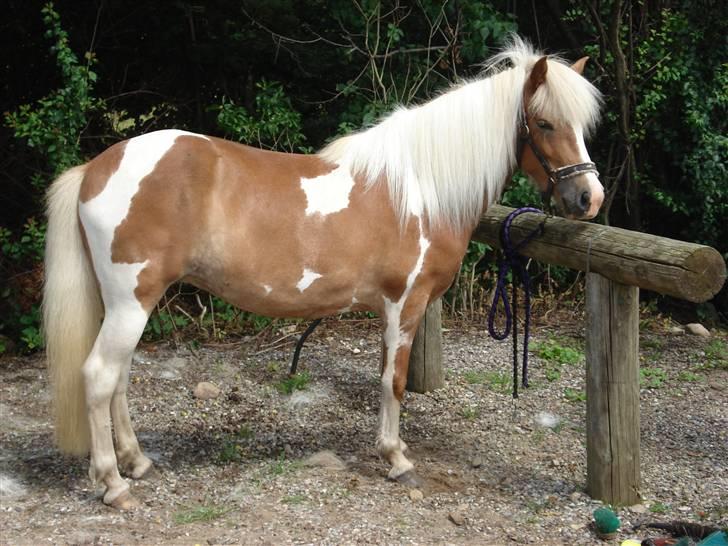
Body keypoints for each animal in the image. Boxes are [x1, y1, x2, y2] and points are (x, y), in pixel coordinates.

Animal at [44, 37, 604, 506]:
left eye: (581, 127)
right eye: (545, 123)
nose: (589, 198)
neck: (422, 186)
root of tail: (96, 167)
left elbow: (387, 377)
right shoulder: (406, 303)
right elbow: (394, 381)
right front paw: (396, 458)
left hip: (126, 305)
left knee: (118, 379)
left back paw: (136, 462)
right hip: (131, 302)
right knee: (100, 376)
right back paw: (114, 485)